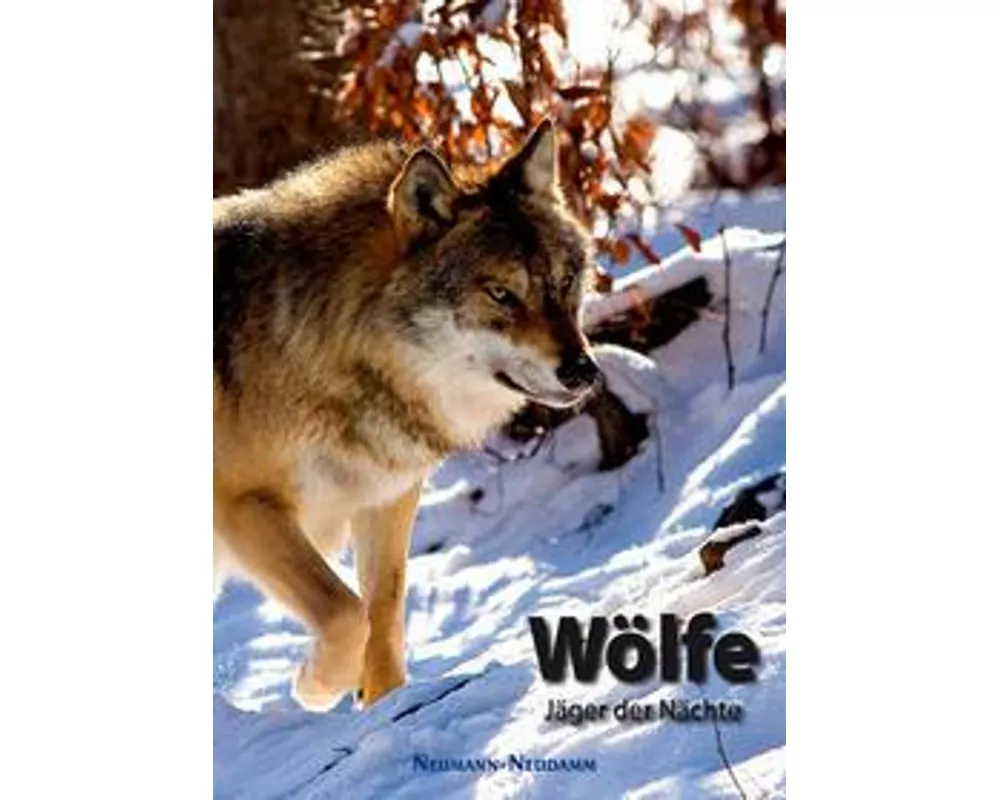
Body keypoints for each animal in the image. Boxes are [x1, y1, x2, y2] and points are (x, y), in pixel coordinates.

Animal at [213, 120, 601, 710]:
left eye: (563, 282)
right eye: (500, 294)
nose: (583, 371)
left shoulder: (384, 496)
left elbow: (383, 616)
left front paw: (380, 705)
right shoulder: (246, 505)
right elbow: (345, 614)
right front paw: (314, 687)